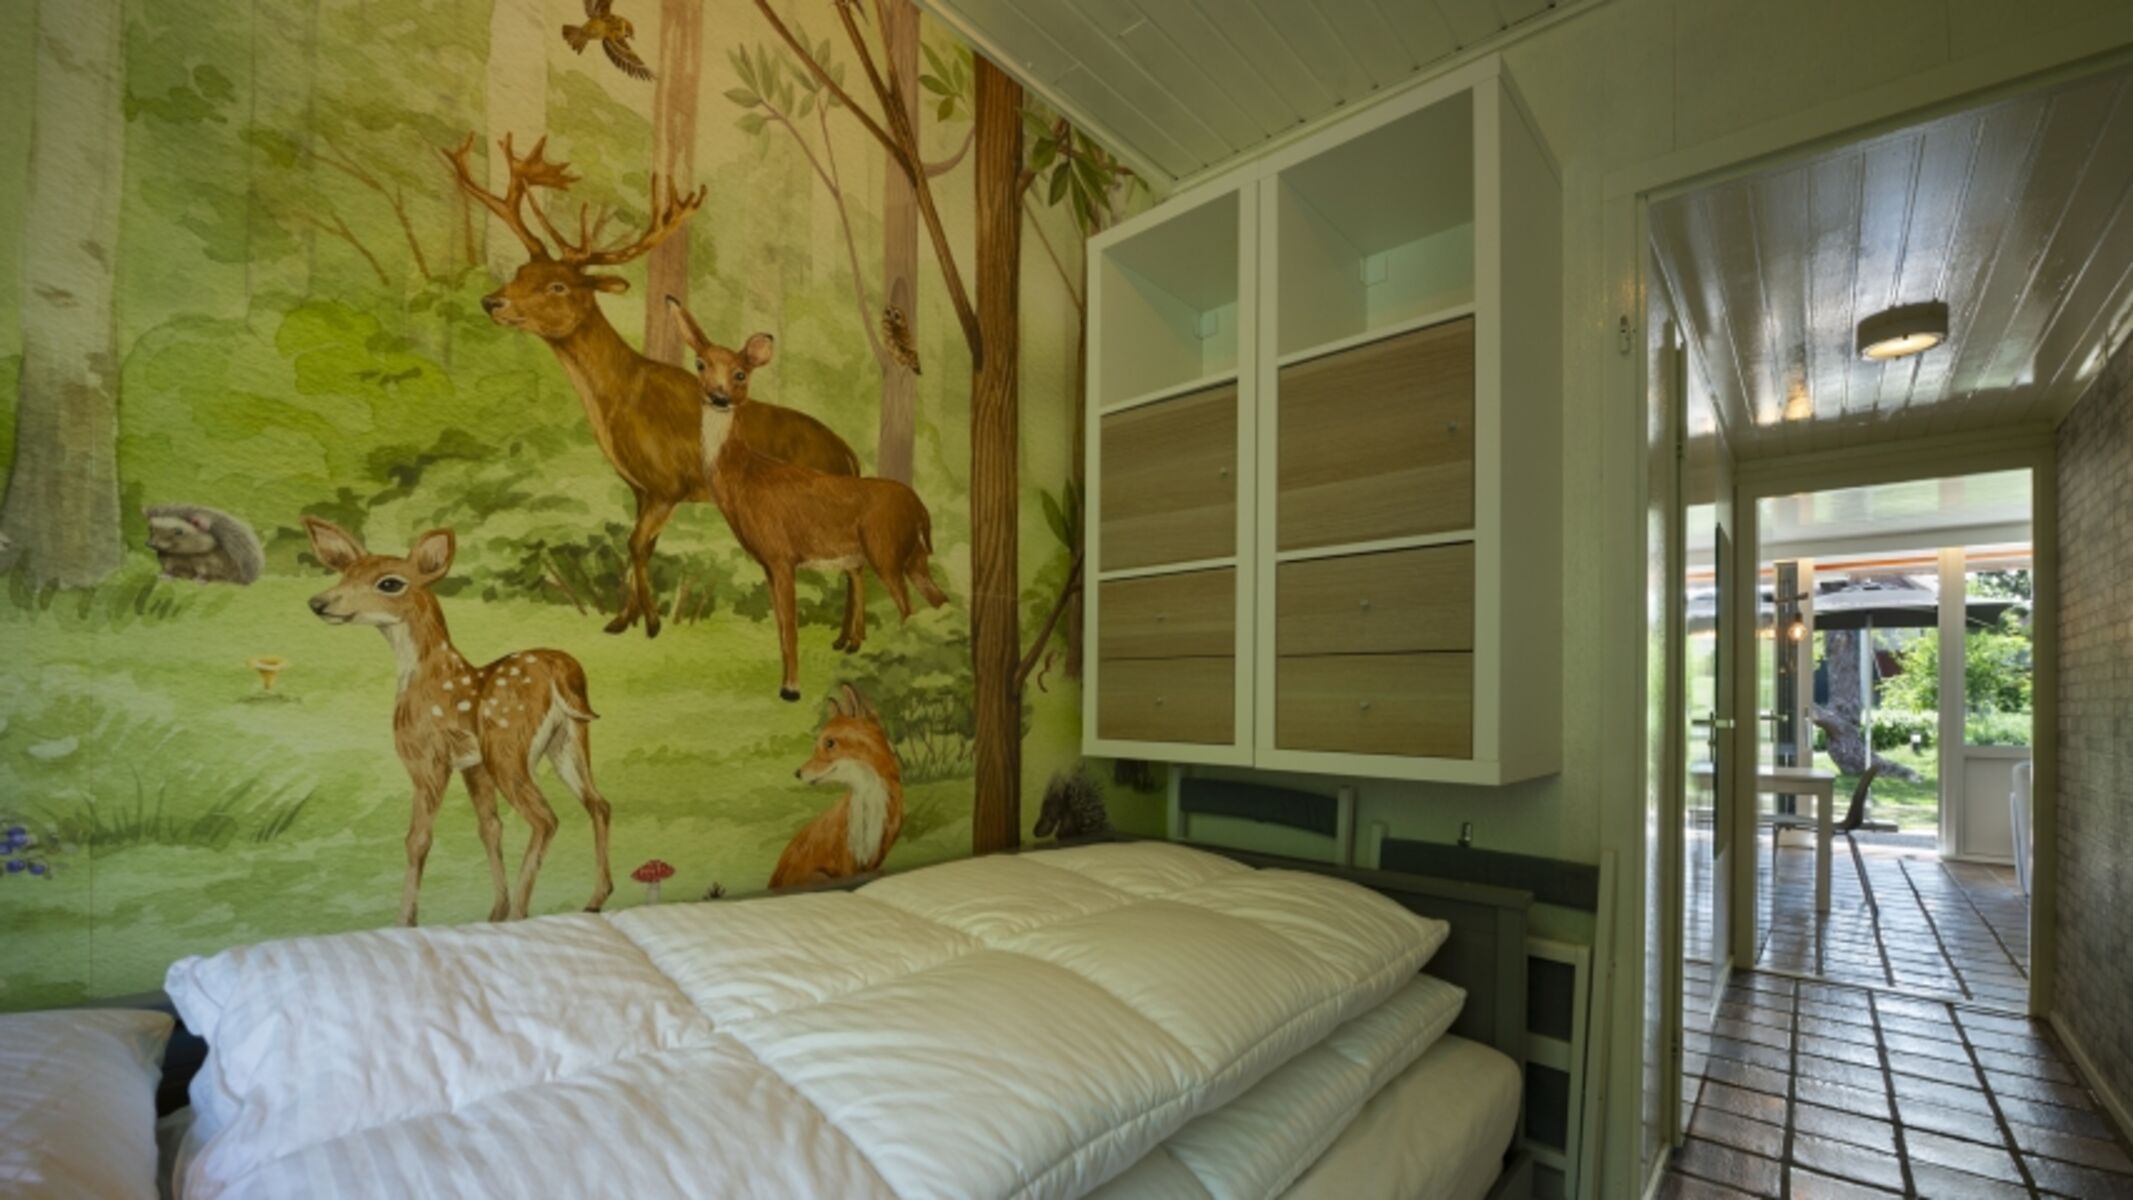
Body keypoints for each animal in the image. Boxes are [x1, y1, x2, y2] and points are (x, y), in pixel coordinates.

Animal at [303, 516, 614, 926]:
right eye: (345, 574)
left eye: (389, 583)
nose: (318, 602)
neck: (426, 675)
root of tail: (557, 672)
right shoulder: (472, 765)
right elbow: (489, 828)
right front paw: (494, 910)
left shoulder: (427, 757)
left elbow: (417, 839)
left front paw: (406, 920)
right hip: (569, 738)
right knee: (598, 803)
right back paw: (594, 898)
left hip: (507, 744)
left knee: (546, 818)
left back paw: (522, 913)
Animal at [442, 133, 872, 648]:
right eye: (522, 274)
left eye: (558, 286)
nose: (492, 301)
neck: (621, 402)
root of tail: (850, 456)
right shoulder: (640, 487)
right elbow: (640, 546)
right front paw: (622, 619)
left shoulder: (668, 484)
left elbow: (635, 544)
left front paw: (649, 620)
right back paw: (847, 638)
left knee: (855, 564)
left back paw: (852, 639)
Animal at [668, 298, 950, 700]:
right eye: (700, 364)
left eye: (740, 374)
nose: (719, 397)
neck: (745, 478)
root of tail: (921, 511)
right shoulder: (767, 562)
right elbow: (781, 627)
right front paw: (786, 682)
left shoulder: (782, 553)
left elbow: (790, 625)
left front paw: (791, 688)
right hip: (913, 556)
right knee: (938, 602)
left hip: (886, 550)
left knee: (908, 607)